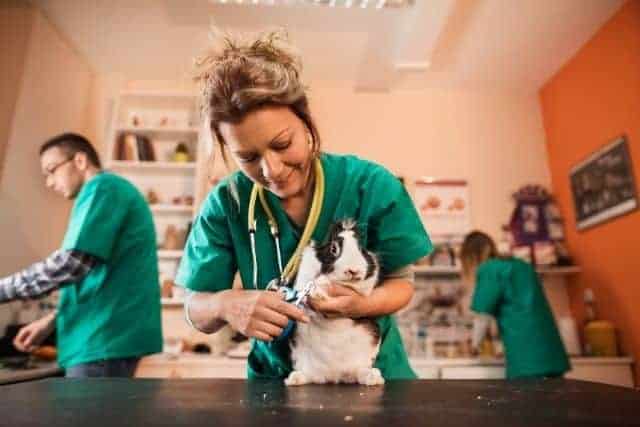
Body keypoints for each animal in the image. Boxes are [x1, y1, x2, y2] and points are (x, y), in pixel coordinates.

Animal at [286, 221, 384, 388]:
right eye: (333, 249)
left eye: (361, 249)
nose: (353, 270)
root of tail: (333, 375)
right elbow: (315, 284)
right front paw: (318, 291)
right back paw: (294, 379)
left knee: (361, 373)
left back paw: (374, 378)